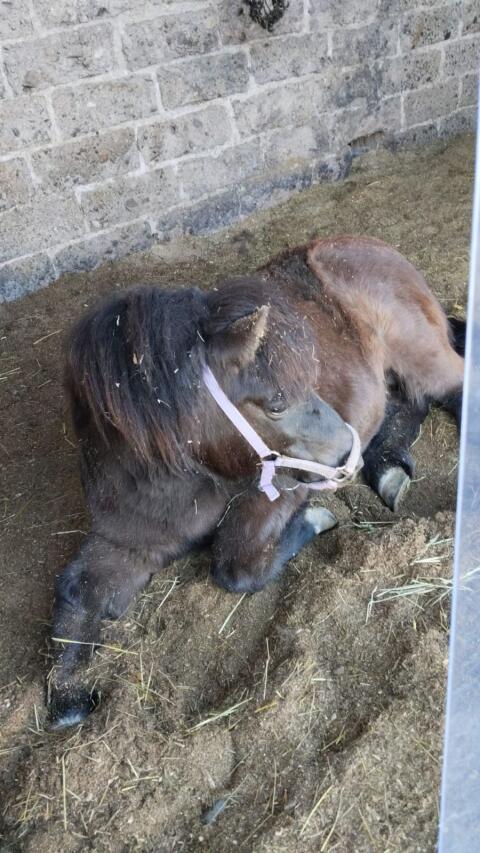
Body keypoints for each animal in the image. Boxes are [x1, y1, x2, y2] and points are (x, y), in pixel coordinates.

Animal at [48, 235, 464, 728]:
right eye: (277, 403)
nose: (347, 453)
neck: (185, 484)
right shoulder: (126, 540)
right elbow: (77, 589)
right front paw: (67, 695)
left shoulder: (278, 489)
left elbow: (237, 565)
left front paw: (316, 520)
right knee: (405, 401)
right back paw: (387, 469)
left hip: (419, 350)